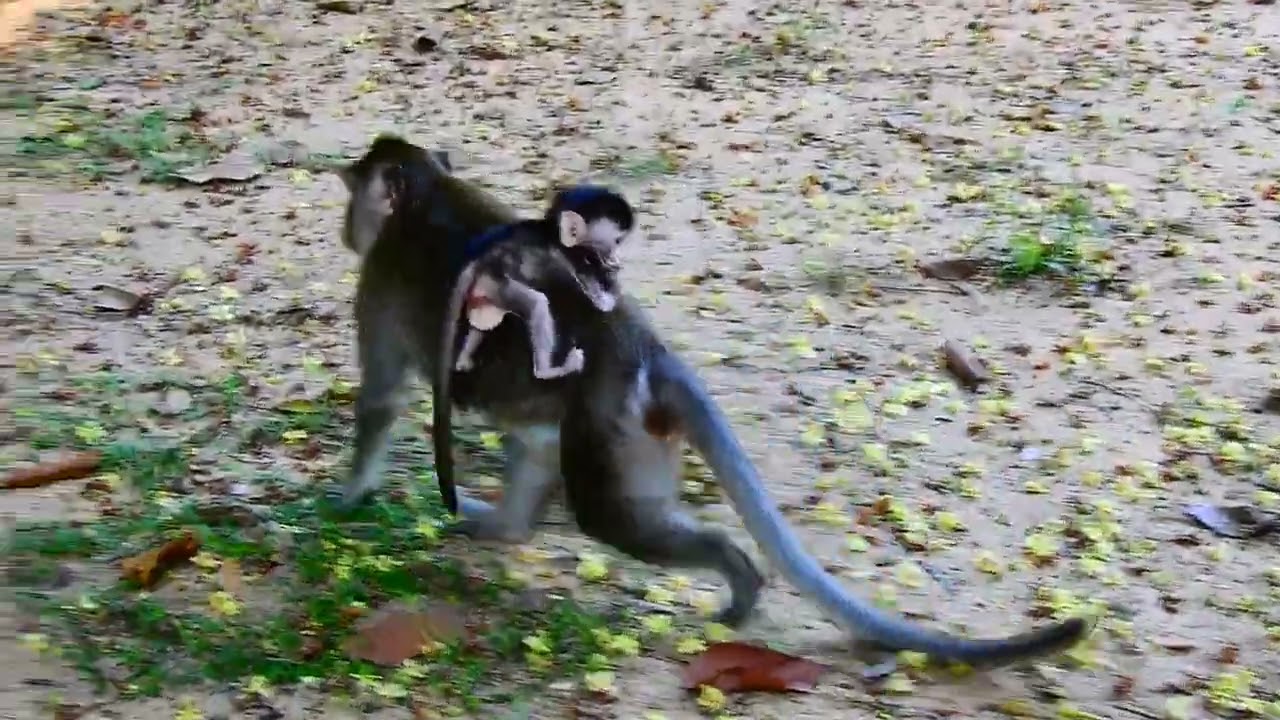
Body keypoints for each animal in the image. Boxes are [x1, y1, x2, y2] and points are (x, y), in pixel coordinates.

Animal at [332, 134, 1093, 666]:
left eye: (355, 197)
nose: (345, 229)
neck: (428, 194)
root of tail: (647, 352)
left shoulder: (377, 286)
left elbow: (380, 401)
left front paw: (342, 500)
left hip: (612, 430)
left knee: (614, 518)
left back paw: (739, 580)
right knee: (542, 442)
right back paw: (506, 528)